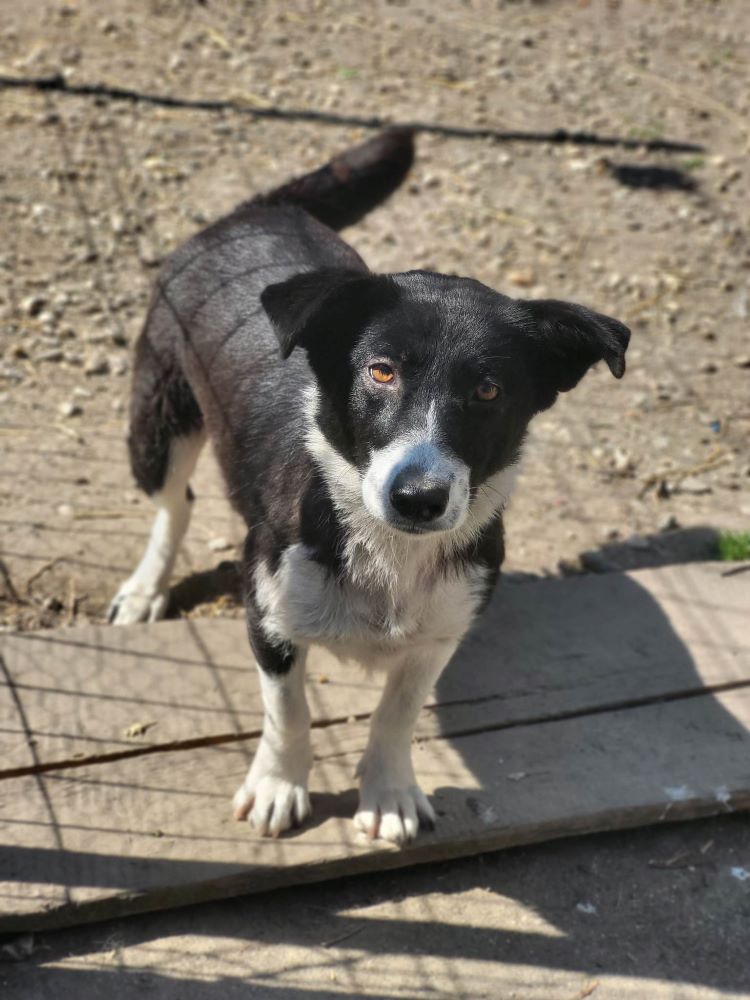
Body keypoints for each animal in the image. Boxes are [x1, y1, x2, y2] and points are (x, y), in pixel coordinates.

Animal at [108, 127, 632, 844]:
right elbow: (288, 712)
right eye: (380, 372)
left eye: (489, 391)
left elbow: (397, 714)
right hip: (157, 423)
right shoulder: (268, 614)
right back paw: (145, 587)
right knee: (174, 502)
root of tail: (257, 209)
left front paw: (389, 793)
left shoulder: (439, 634)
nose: (419, 498)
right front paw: (278, 786)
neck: (387, 546)